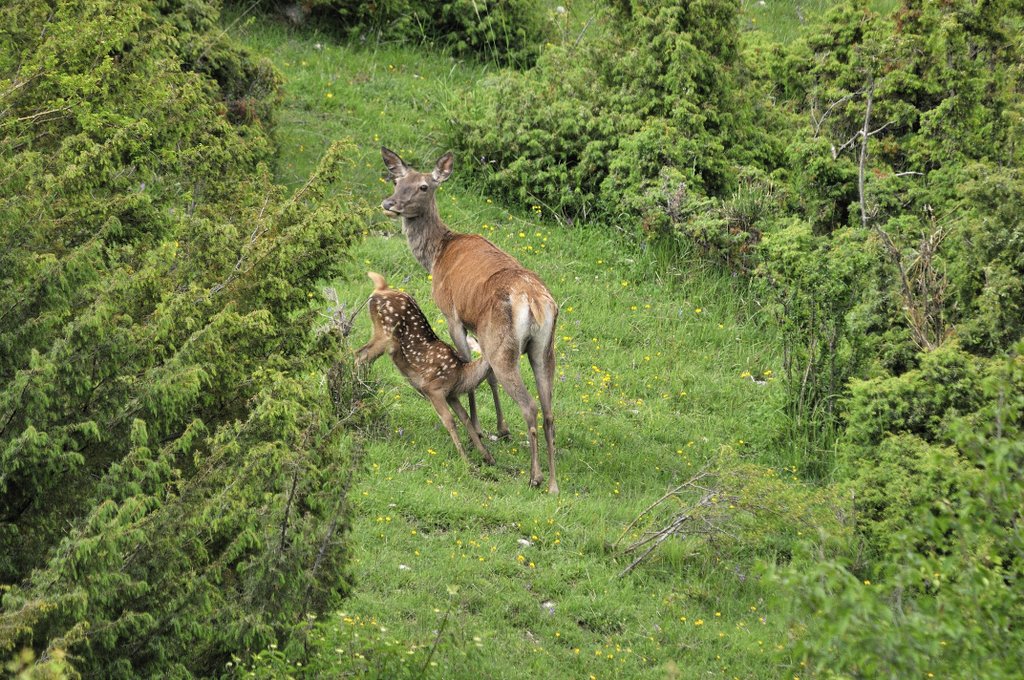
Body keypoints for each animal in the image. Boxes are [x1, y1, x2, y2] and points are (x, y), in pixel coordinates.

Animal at [378, 146, 557, 491]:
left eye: (424, 186)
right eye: (397, 181)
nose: (389, 204)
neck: (435, 257)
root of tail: (534, 301)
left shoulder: (452, 314)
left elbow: (468, 371)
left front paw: (478, 428)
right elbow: (486, 377)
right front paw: (500, 428)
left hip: (503, 344)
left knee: (529, 406)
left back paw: (535, 476)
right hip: (543, 347)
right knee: (548, 409)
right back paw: (555, 484)